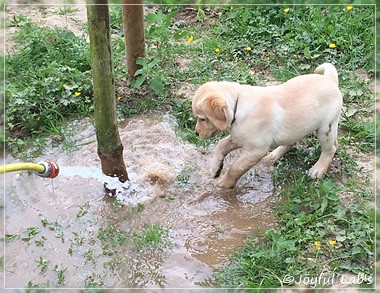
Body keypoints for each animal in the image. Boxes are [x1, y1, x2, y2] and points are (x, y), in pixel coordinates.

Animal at [191, 62, 342, 188]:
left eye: (202, 119)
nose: (196, 133)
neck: (238, 107)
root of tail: (330, 79)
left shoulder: (256, 149)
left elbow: (236, 168)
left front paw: (224, 184)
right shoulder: (238, 137)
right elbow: (221, 144)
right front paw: (215, 168)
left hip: (325, 129)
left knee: (331, 148)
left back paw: (318, 169)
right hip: (298, 127)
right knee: (290, 142)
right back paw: (274, 155)